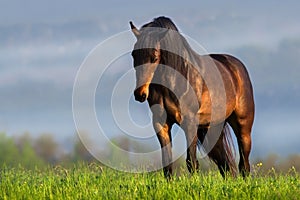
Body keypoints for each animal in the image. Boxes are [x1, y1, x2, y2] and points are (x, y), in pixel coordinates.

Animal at [130, 16, 254, 178]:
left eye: (154, 56)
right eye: (134, 55)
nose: (140, 94)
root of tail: (236, 67)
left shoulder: (189, 123)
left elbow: (192, 162)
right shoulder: (161, 123)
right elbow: (167, 164)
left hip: (243, 125)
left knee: (244, 164)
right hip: (212, 128)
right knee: (225, 164)